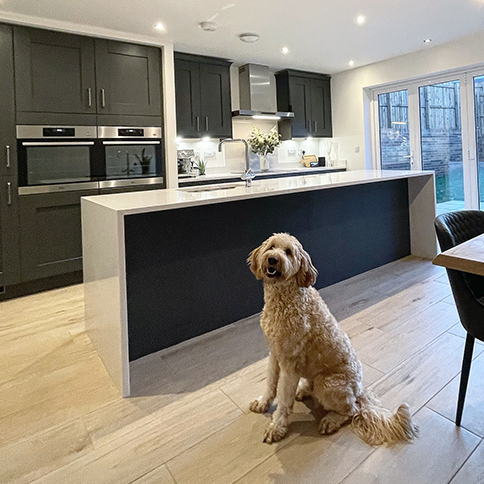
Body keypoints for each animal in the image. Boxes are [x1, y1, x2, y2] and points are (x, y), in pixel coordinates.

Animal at [248, 233, 418, 444]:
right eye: (271, 247)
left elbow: (284, 399)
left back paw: (331, 420)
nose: (273, 259)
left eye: (288, 252)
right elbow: (270, 383)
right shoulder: (274, 353)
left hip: (327, 384)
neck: (284, 300)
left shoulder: (290, 363)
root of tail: (359, 391)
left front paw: (277, 427)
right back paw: (304, 390)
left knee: (352, 410)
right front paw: (263, 404)